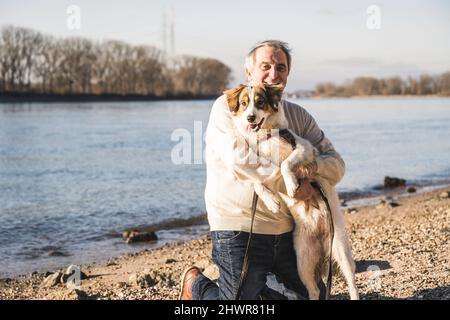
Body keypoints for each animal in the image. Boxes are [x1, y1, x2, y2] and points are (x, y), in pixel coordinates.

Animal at [224, 84, 358, 300]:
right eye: (244, 103)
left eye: (260, 102)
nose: (250, 118)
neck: (267, 136)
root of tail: (321, 238)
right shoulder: (255, 164)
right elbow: (257, 182)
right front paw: (271, 201)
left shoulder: (303, 149)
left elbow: (285, 164)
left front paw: (291, 185)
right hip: (303, 261)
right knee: (314, 289)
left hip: (340, 248)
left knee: (351, 282)